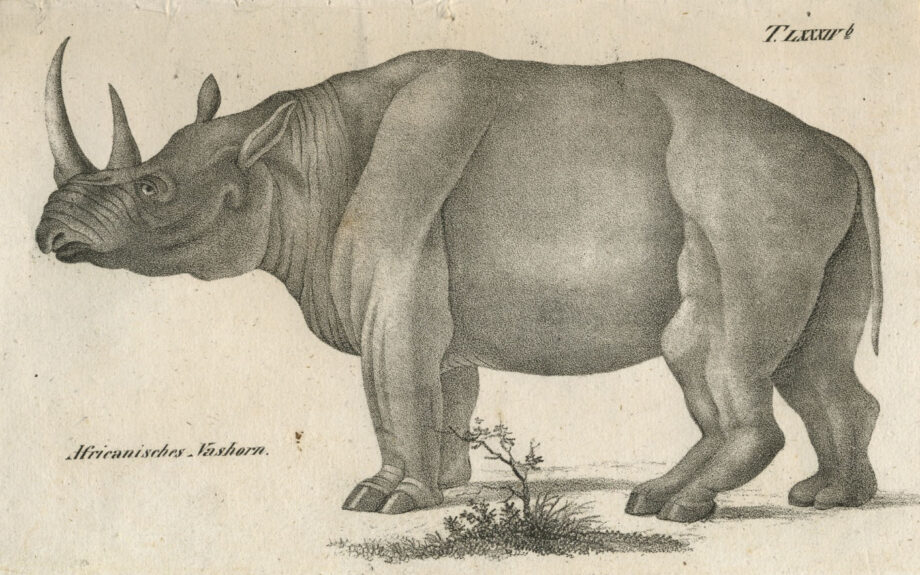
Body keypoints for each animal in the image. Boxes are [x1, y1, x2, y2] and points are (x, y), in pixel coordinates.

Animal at [36, 38, 882, 523]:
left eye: (153, 189)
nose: (50, 231)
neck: (289, 158)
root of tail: (842, 146)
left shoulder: (391, 290)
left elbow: (391, 389)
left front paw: (384, 500)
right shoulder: (429, 306)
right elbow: (444, 390)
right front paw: (445, 483)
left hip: (750, 189)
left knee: (710, 347)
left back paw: (680, 509)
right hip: (797, 188)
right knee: (802, 361)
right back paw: (824, 499)